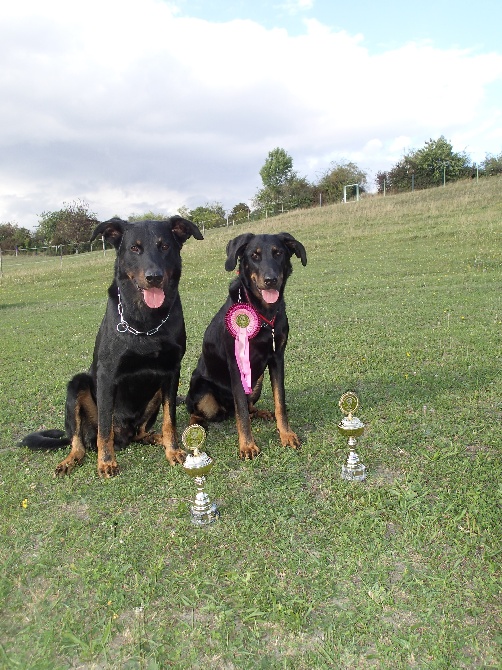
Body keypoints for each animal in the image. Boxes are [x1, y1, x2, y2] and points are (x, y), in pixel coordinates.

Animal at [19, 217, 204, 478]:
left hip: (155, 395)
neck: (146, 323)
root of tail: (123, 435)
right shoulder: (107, 375)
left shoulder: (171, 373)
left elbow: (171, 420)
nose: (154, 277)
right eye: (134, 248)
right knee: (80, 442)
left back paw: (156, 438)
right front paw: (106, 462)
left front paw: (173, 449)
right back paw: (70, 459)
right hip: (77, 384)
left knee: (140, 433)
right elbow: (104, 428)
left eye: (165, 246)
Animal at [185, 234, 306, 460]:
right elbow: (241, 410)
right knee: (199, 412)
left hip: (257, 381)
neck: (263, 313)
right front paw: (247, 446)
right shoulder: (237, 365)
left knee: (249, 407)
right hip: (202, 390)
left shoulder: (277, 359)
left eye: (278, 253)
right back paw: (196, 425)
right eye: (254, 256)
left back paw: (262, 413)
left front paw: (286, 434)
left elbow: (280, 402)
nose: (270, 280)